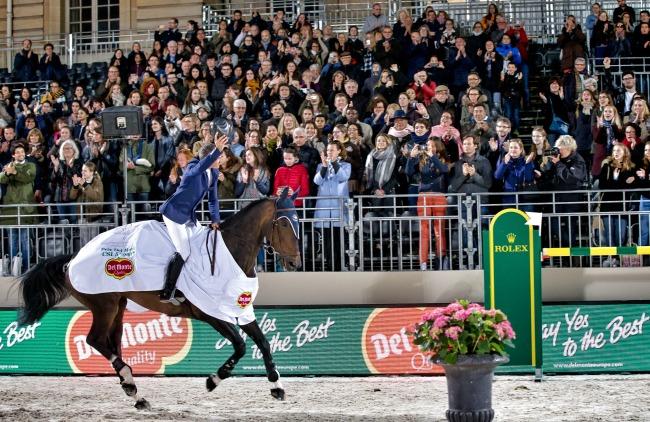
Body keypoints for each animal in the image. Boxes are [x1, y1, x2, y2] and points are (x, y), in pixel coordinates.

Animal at [17, 189, 302, 408]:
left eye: (299, 221)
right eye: (284, 223)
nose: (295, 263)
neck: (231, 253)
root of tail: (73, 258)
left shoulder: (239, 309)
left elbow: (263, 343)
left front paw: (277, 386)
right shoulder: (210, 313)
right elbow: (241, 346)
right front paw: (213, 380)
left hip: (118, 306)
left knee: (113, 343)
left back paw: (133, 390)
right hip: (104, 304)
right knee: (94, 340)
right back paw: (130, 382)